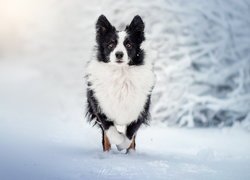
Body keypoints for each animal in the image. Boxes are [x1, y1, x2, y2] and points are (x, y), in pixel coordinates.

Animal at [85, 14, 154, 152]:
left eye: (129, 45)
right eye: (111, 44)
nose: (119, 54)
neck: (120, 73)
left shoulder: (141, 107)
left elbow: (130, 134)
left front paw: (123, 145)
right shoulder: (99, 105)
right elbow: (110, 131)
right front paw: (118, 141)